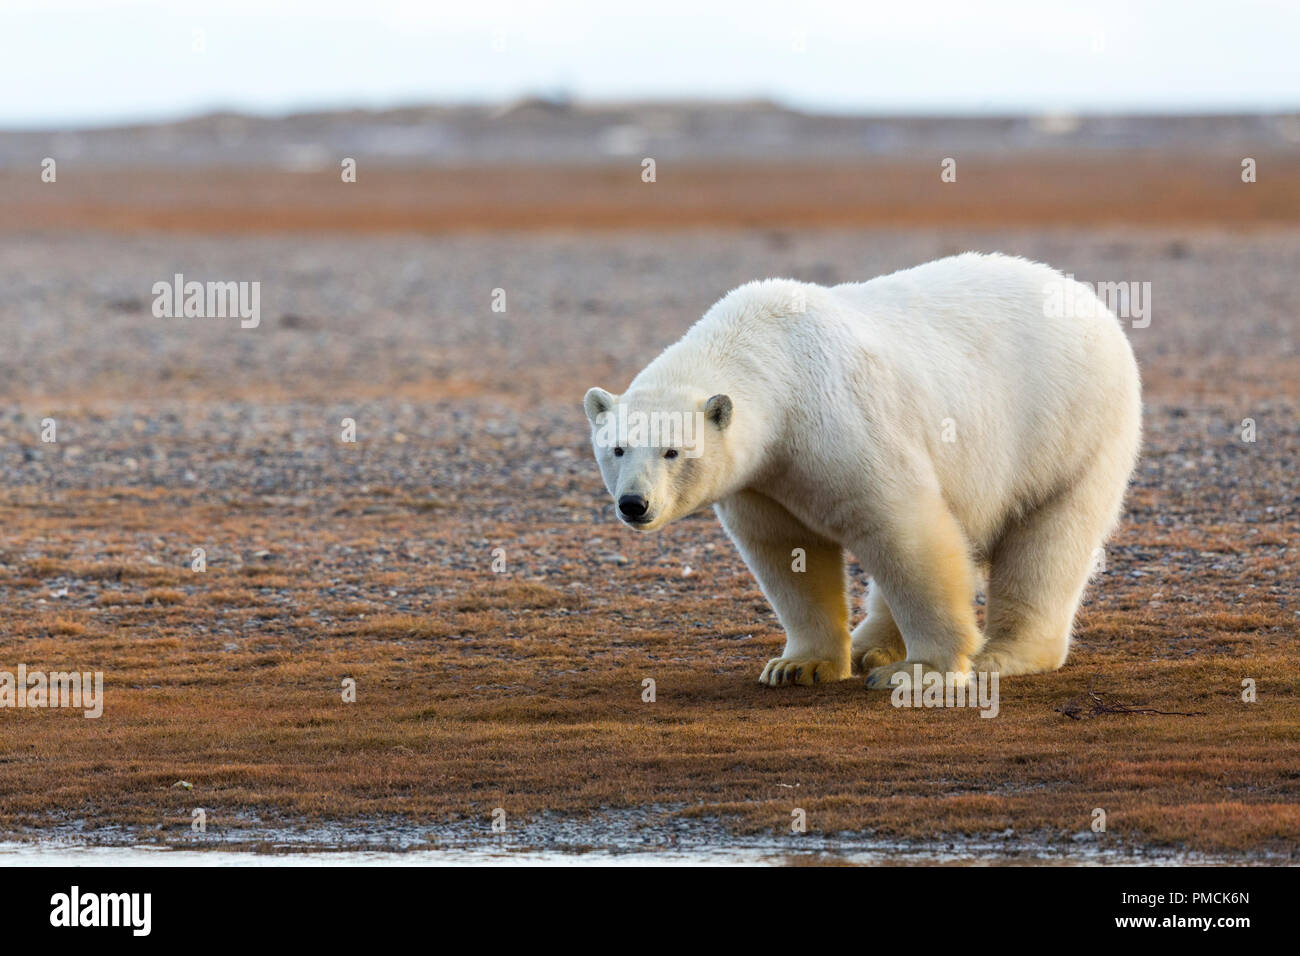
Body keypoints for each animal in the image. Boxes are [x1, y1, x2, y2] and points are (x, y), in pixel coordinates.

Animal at [585, 254, 1144, 686]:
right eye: (617, 448)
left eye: (673, 452)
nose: (634, 504)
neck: (773, 359)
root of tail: (1088, 299)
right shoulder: (761, 480)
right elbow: (788, 552)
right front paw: (797, 666)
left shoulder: (841, 422)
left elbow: (904, 531)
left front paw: (924, 671)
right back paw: (871, 645)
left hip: (1072, 428)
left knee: (1049, 541)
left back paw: (1003, 654)